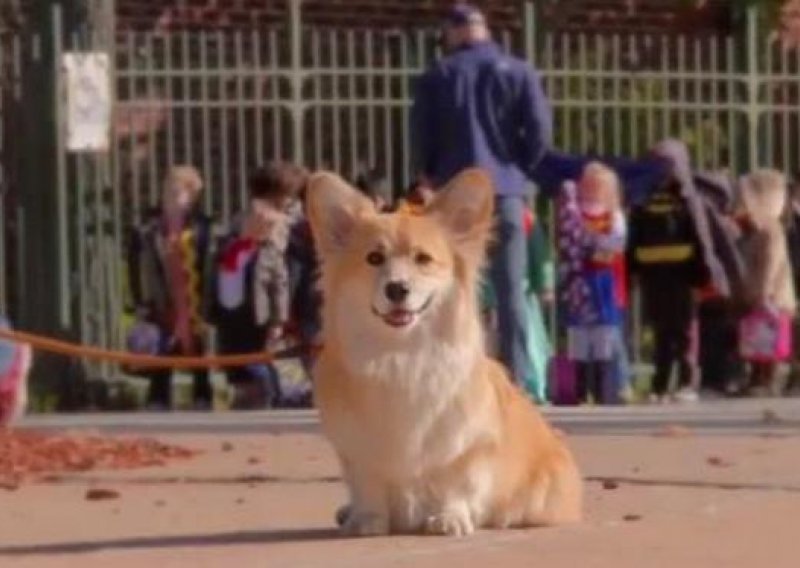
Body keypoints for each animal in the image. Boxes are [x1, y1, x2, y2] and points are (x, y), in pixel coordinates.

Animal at [306, 169, 580, 536]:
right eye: (374, 259)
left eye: (423, 259)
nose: (397, 288)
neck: (400, 355)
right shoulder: (359, 452)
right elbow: (369, 485)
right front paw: (367, 520)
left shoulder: (464, 446)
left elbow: (455, 482)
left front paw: (450, 518)